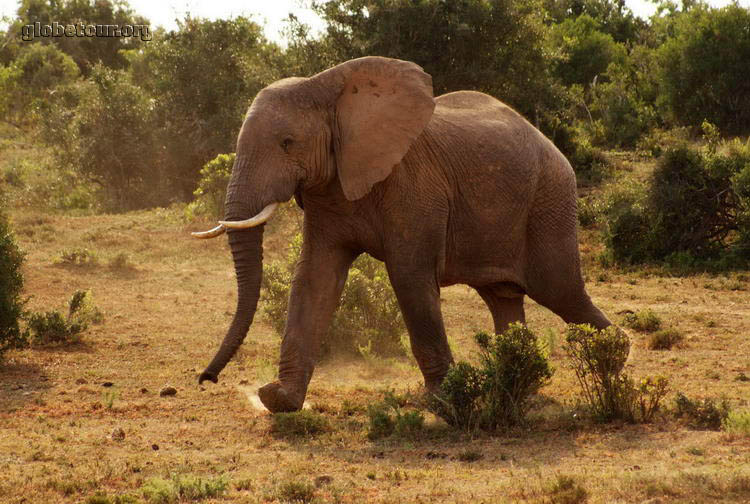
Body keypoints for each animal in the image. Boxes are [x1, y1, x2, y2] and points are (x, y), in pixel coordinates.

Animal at [194, 56, 616, 414]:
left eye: (287, 143)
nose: (205, 379)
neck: (328, 89)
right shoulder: (329, 190)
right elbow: (315, 278)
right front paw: (278, 399)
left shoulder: (414, 186)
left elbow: (409, 277)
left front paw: (444, 401)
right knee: (504, 298)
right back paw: (516, 383)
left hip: (550, 198)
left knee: (560, 290)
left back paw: (613, 357)